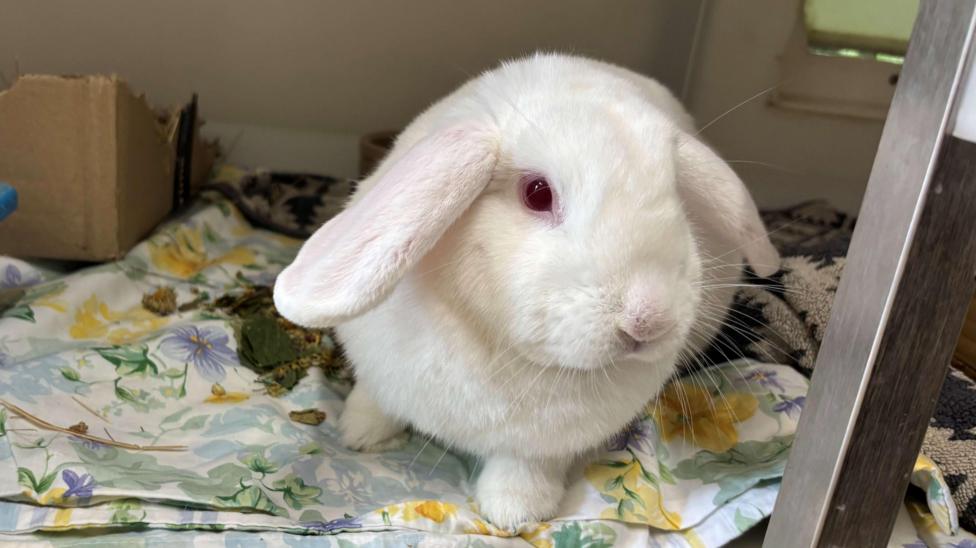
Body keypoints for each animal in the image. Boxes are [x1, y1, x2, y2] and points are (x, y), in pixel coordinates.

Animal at [273, 52, 779, 529]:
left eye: (677, 198)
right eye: (537, 193)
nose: (648, 320)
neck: (498, 346)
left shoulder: (542, 446)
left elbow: (522, 469)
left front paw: (513, 514)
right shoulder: (382, 372)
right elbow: (376, 399)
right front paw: (358, 434)